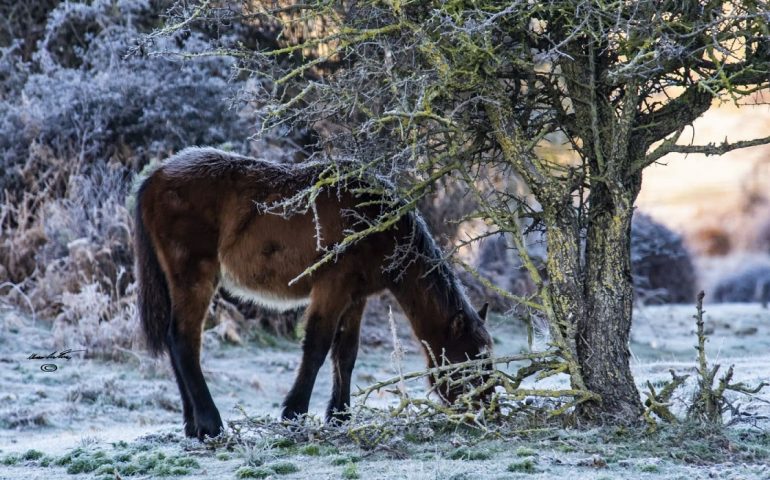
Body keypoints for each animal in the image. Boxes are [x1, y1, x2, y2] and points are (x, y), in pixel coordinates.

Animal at [134, 146, 492, 438]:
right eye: (470, 361)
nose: (486, 412)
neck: (374, 221)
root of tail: (156, 176)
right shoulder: (332, 288)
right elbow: (316, 348)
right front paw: (294, 413)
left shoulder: (356, 296)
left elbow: (346, 353)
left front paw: (339, 416)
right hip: (195, 277)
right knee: (185, 341)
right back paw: (210, 424)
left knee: (175, 341)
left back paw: (192, 425)